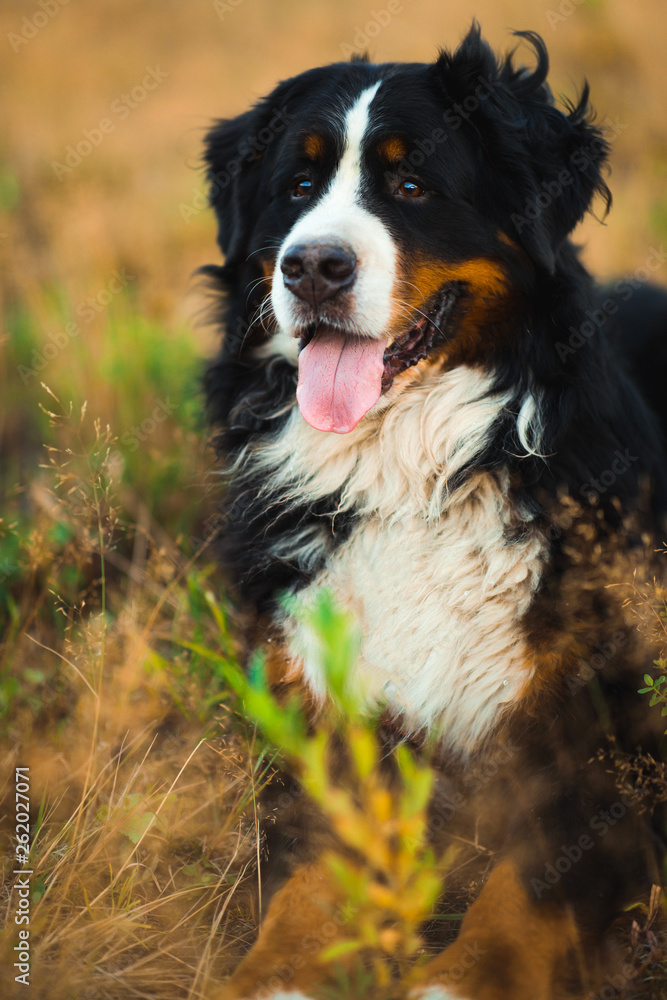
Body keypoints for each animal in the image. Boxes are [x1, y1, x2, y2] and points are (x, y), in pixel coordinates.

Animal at [202, 21, 667, 1000]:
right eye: (296, 188)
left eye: (411, 185)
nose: (313, 266)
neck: (411, 477)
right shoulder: (324, 732)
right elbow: (301, 895)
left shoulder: (597, 759)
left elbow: (518, 901)